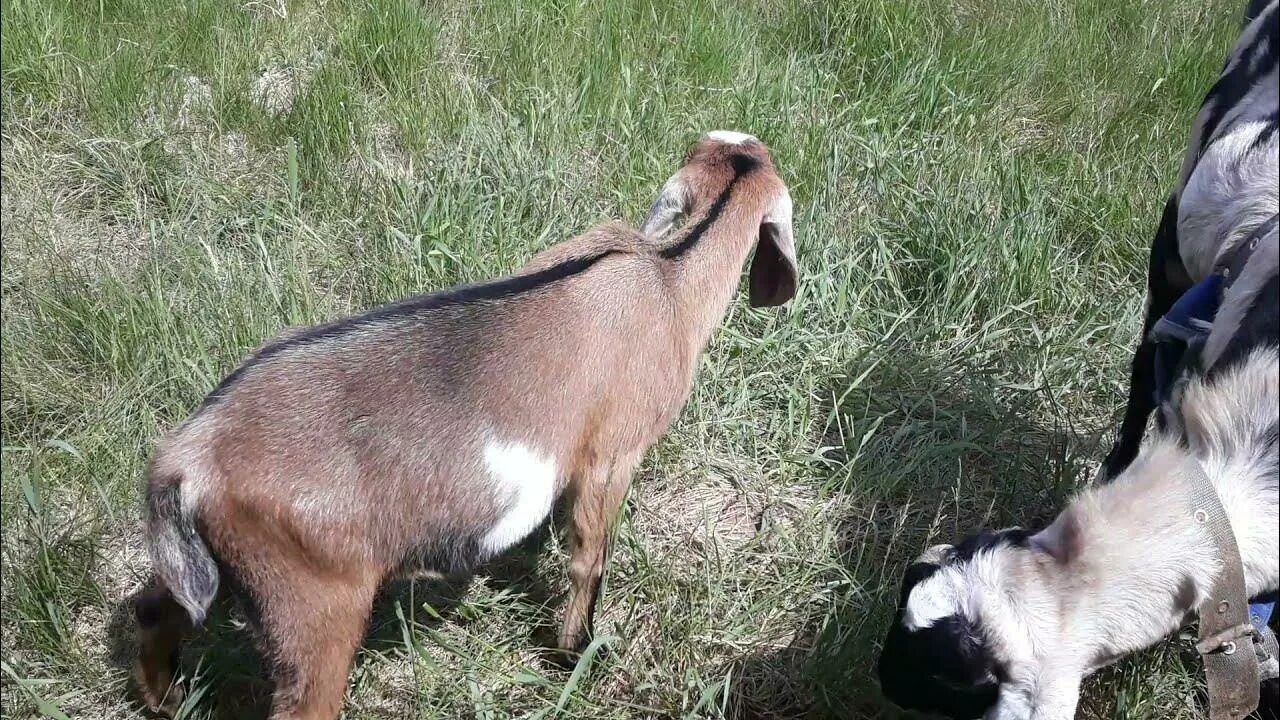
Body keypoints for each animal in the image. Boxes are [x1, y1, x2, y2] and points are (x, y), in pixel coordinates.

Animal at [135, 130, 793, 717]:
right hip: (311, 601)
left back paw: (171, 700)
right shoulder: (613, 454)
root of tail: (189, 454)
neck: (666, 273)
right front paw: (575, 657)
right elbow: (590, 557)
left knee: (156, 607)